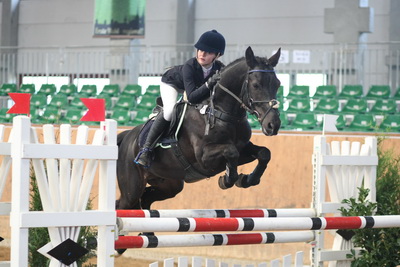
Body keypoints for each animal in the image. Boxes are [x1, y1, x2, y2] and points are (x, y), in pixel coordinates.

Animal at [115, 47, 282, 213]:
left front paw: (246, 180)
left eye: (277, 84)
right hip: (132, 188)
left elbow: (264, 153)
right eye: (256, 85)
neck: (221, 113)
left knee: (146, 198)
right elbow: (231, 152)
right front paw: (227, 179)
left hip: (169, 183)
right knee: (122, 204)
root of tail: (127, 136)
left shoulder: (243, 148)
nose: (273, 125)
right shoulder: (205, 158)